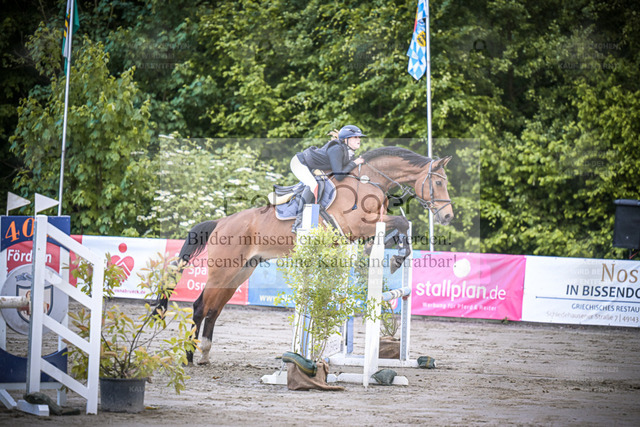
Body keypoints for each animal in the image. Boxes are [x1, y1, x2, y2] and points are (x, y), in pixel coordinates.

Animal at [168, 146, 453, 364]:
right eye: (438, 182)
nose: (447, 216)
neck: (368, 182)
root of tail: (221, 222)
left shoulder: (366, 229)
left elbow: (398, 229)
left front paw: (393, 256)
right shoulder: (358, 226)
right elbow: (400, 223)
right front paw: (395, 258)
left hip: (240, 271)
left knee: (214, 309)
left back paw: (204, 354)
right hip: (223, 270)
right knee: (200, 307)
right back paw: (189, 357)